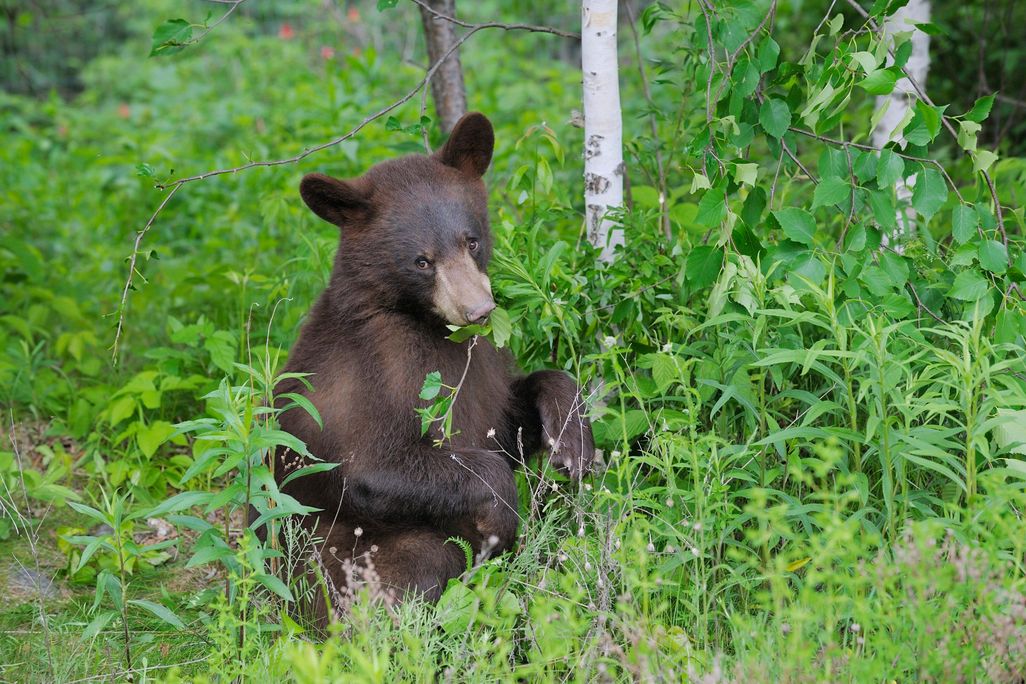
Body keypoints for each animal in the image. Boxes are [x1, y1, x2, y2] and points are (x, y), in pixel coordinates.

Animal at [272, 112, 594, 626]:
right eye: (421, 261)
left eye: (472, 240)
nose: (478, 310)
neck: (424, 323)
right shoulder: (377, 369)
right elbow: (372, 465)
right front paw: (502, 517)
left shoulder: (484, 366)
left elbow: (509, 416)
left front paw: (572, 442)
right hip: (331, 564)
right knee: (421, 561)